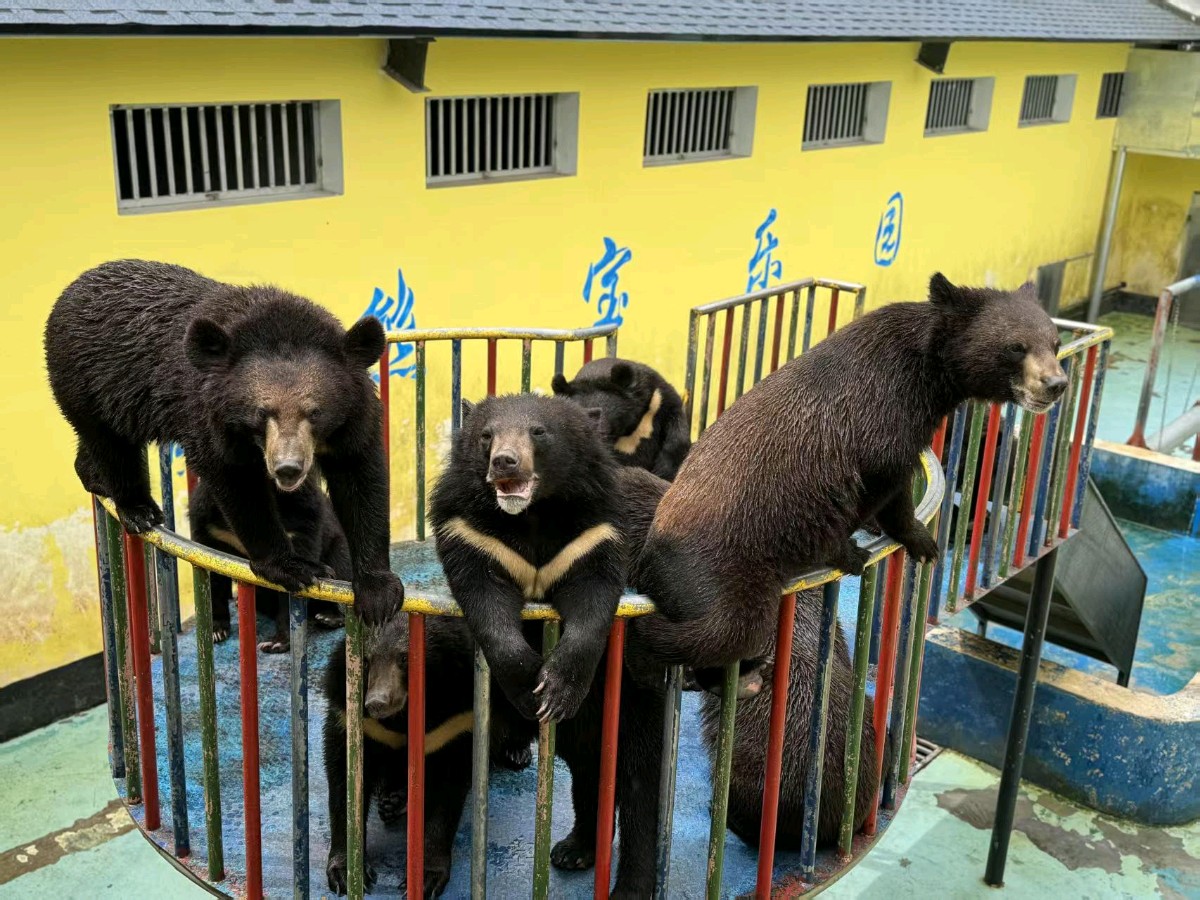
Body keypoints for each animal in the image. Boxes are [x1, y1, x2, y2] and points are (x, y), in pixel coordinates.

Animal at [44, 259, 404, 625]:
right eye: (262, 412)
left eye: (315, 412)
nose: (288, 469)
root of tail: (70, 290)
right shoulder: (210, 416)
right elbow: (236, 482)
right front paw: (295, 568)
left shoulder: (352, 420)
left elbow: (360, 478)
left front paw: (378, 595)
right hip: (87, 381)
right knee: (111, 445)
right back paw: (138, 509)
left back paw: (93, 476)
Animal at [188, 474, 347, 650]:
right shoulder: (209, 527)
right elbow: (210, 577)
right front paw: (215, 631)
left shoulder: (300, 520)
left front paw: (277, 643)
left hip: (338, 544)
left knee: (340, 567)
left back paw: (329, 617)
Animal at [323, 611, 538, 897]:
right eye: (366, 660)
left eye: (405, 658)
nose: (376, 703)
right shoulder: (352, 716)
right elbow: (345, 780)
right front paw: (346, 873)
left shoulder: (453, 720)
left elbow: (446, 794)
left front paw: (426, 878)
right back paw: (393, 801)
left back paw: (516, 752)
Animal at [428, 393, 627, 725]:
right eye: (487, 435)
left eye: (538, 432)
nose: (504, 462)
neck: (533, 512)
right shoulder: (471, 534)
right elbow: (484, 598)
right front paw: (530, 692)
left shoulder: (592, 536)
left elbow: (593, 597)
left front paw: (557, 696)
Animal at [632, 273, 1068, 693]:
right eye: (1016, 347)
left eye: (1056, 342)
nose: (1055, 384)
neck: (926, 376)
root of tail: (650, 561)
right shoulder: (882, 428)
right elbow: (880, 492)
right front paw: (891, 545)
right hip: (720, 573)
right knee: (721, 632)